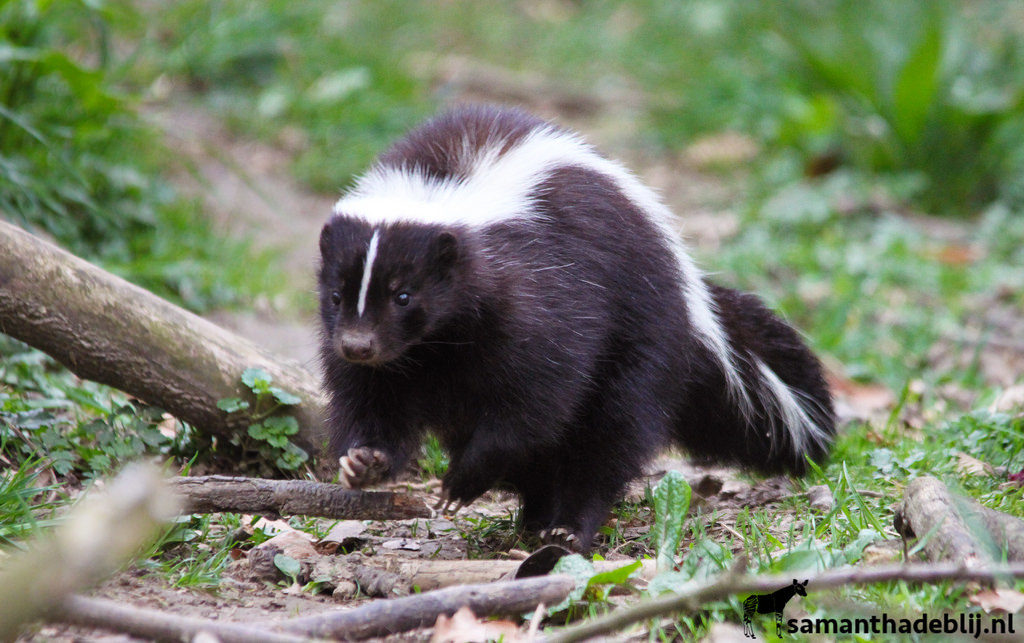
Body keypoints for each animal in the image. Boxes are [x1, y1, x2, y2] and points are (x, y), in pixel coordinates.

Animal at [317, 102, 831, 548]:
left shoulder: (543, 300)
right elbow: (373, 398)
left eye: (404, 295)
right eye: (337, 295)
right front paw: (364, 460)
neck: (438, 341)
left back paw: (567, 526)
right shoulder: (396, 356)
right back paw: (534, 518)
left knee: (607, 437)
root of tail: (695, 301)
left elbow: (538, 396)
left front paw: (462, 480)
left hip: (643, 334)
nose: (358, 345)